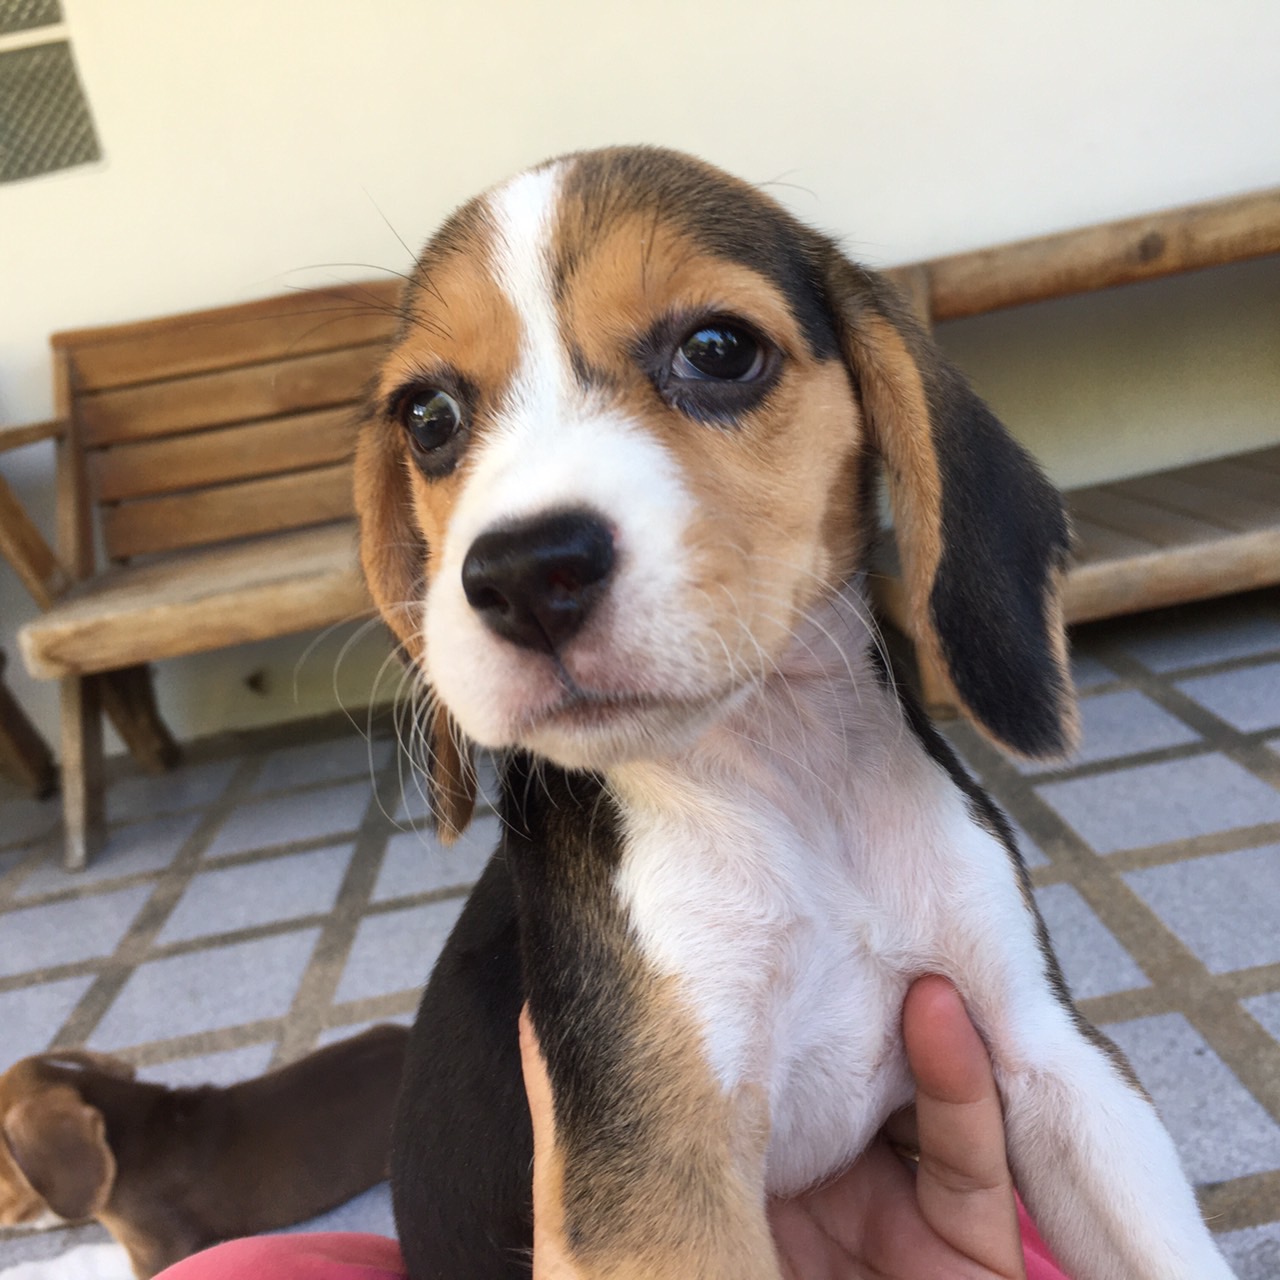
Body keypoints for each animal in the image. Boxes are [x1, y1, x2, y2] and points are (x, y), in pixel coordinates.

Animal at [354, 145, 1235, 1280]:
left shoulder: (1053, 1056)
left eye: (718, 350)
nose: (519, 572)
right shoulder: (655, 1177)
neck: (786, 779)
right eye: (428, 419)